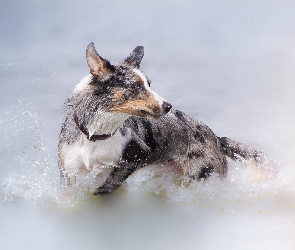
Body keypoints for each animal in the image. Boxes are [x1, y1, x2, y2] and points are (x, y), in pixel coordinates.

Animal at [57, 42, 272, 195]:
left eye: (149, 84)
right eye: (136, 86)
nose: (168, 106)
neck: (96, 135)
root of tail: (216, 139)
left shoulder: (135, 156)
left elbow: (107, 185)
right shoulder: (67, 174)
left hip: (198, 178)